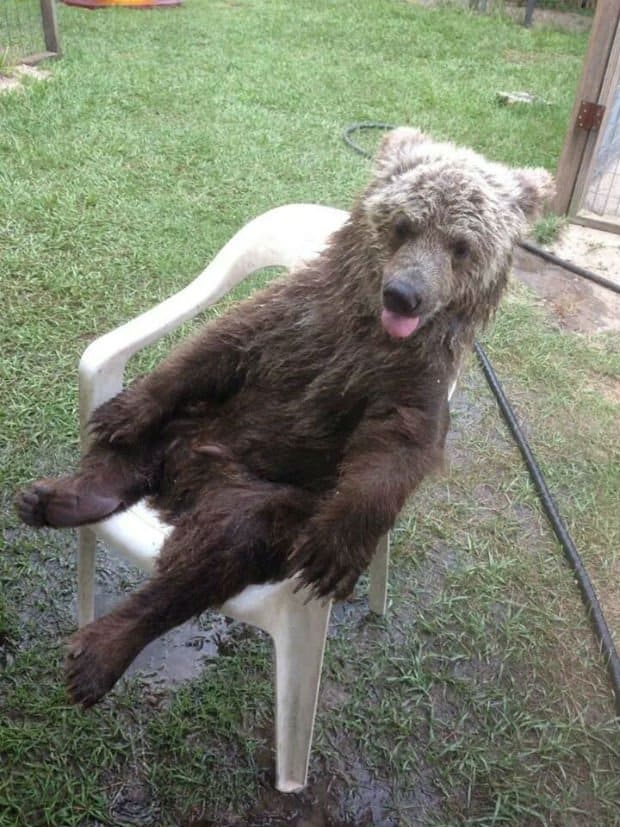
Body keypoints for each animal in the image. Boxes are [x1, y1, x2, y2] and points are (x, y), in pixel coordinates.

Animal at [15, 127, 553, 708]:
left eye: (461, 246)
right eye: (403, 225)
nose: (405, 295)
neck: (366, 331)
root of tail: (178, 487)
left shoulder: (409, 383)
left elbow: (394, 452)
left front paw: (333, 554)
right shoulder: (291, 324)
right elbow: (208, 350)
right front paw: (121, 410)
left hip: (265, 494)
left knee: (224, 546)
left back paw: (98, 652)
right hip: (195, 420)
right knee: (130, 453)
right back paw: (56, 498)